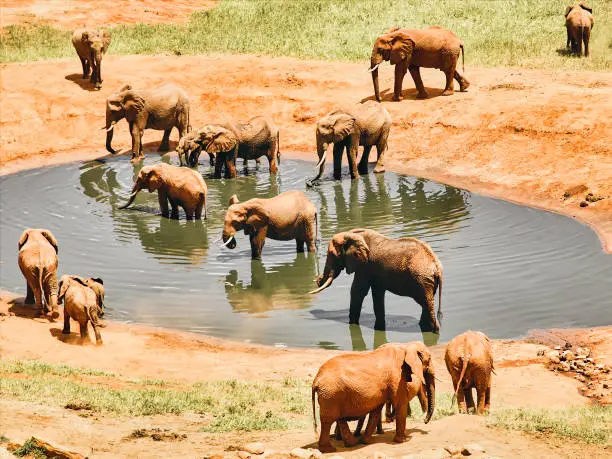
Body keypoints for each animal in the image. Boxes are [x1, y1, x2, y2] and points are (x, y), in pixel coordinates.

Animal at [308, 230, 442, 334]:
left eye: (331, 254)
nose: (317, 281)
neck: (352, 234)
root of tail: (436, 266)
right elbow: (377, 294)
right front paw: (379, 328)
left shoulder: (365, 266)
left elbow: (357, 291)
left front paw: (352, 324)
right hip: (426, 282)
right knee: (426, 304)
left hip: (422, 280)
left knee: (426, 304)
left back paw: (434, 331)